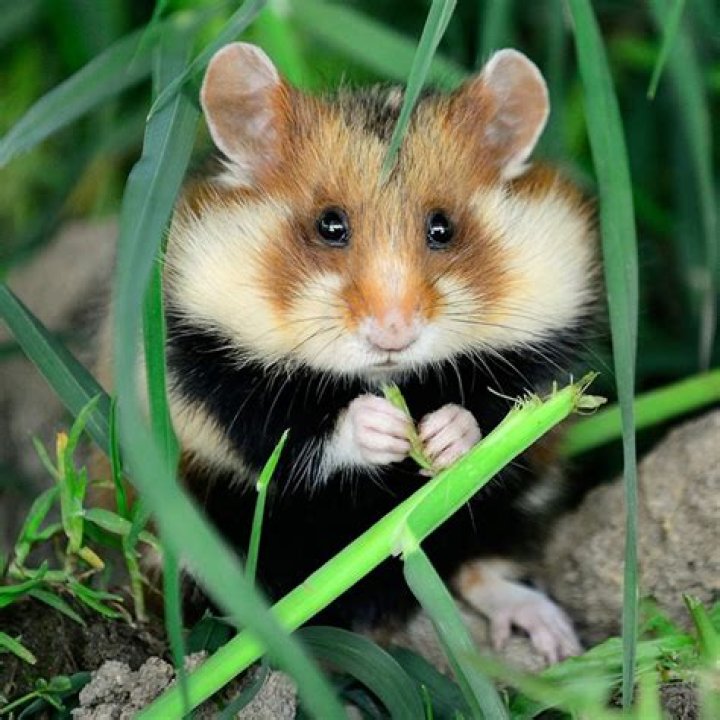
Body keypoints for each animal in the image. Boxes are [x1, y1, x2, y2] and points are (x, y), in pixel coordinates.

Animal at [102, 43, 599, 663]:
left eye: (443, 228)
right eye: (329, 225)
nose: (393, 335)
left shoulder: (540, 355)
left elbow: (501, 418)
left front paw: (442, 436)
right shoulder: (210, 371)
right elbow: (285, 440)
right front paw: (382, 427)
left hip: (506, 509)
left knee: (478, 564)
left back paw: (555, 639)